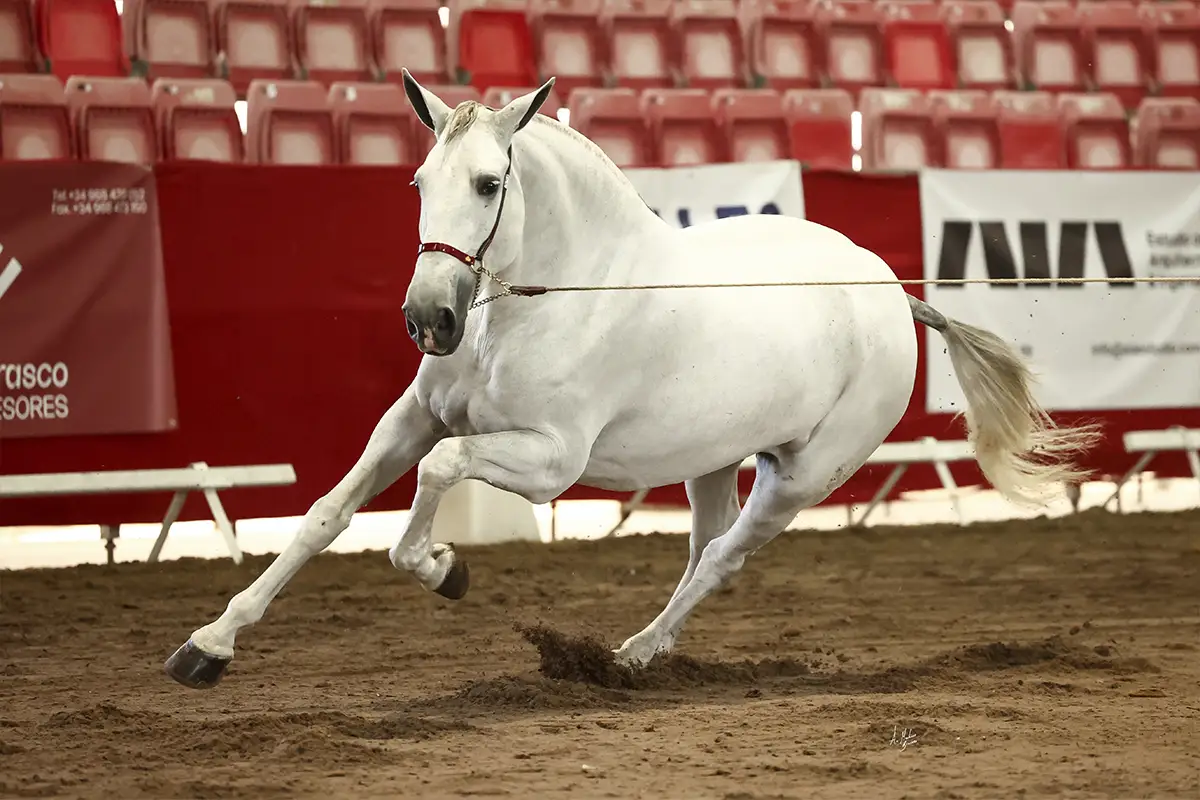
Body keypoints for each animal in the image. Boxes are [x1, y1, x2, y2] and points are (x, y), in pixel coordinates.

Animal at [163, 71, 1100, 689]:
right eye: (419, 181)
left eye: (490, 183)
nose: (429, 319)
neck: (544, 301)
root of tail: (890, 289)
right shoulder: (413, 417)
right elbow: (328, 513)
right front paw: (207, 645)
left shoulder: (550, 461)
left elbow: (436, 477)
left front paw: (442, 568)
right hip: (715, 462)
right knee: (701, 551)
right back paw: (640, 655)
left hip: (800, 478)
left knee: (722, 559)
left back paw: (628, 658)